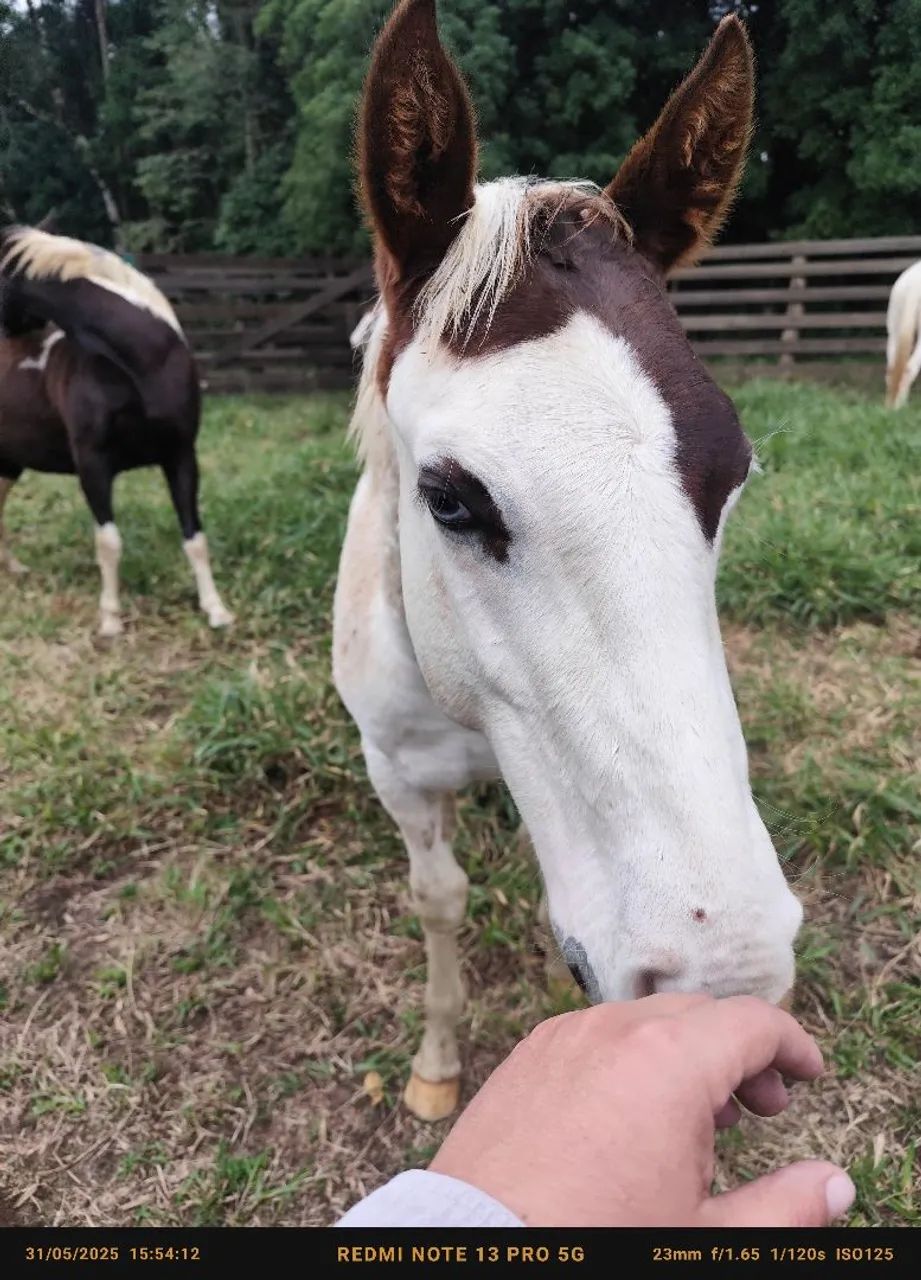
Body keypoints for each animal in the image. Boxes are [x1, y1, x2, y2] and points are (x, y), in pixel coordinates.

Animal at [0, 226, 233, 636]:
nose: (8, 333)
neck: (143, 363)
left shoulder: (181, 456)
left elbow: (195, 538)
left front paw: (216, 611)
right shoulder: (93, 464)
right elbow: (108, 542)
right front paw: (110, 620)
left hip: (7, 464)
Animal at [333, 0, 804, 1123]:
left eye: (733, 475)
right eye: (449, 498)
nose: (718, 977)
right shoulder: (396, 774)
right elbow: (439, 897)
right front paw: (435, 1064)